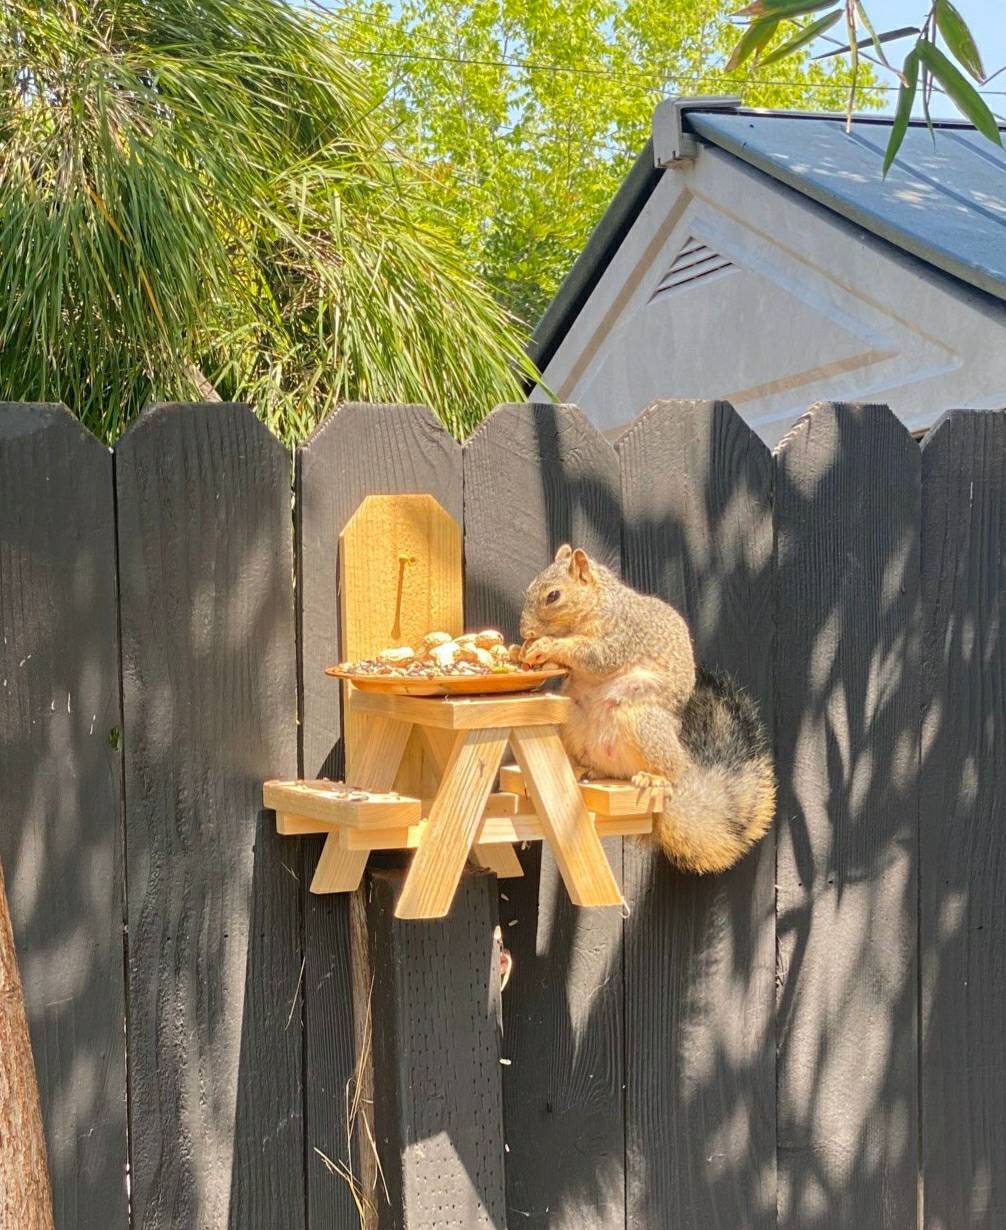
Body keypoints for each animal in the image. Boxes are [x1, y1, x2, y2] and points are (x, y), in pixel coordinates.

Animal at [521, 546, 772, 875]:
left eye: (553, 596)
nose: (524, 630)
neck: (600, 603)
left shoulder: (621, 637)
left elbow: (595, 656)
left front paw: (547, 645)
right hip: (572, 717)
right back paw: (580, 768)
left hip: (643, 722)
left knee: (672, 768)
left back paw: (657, 779)